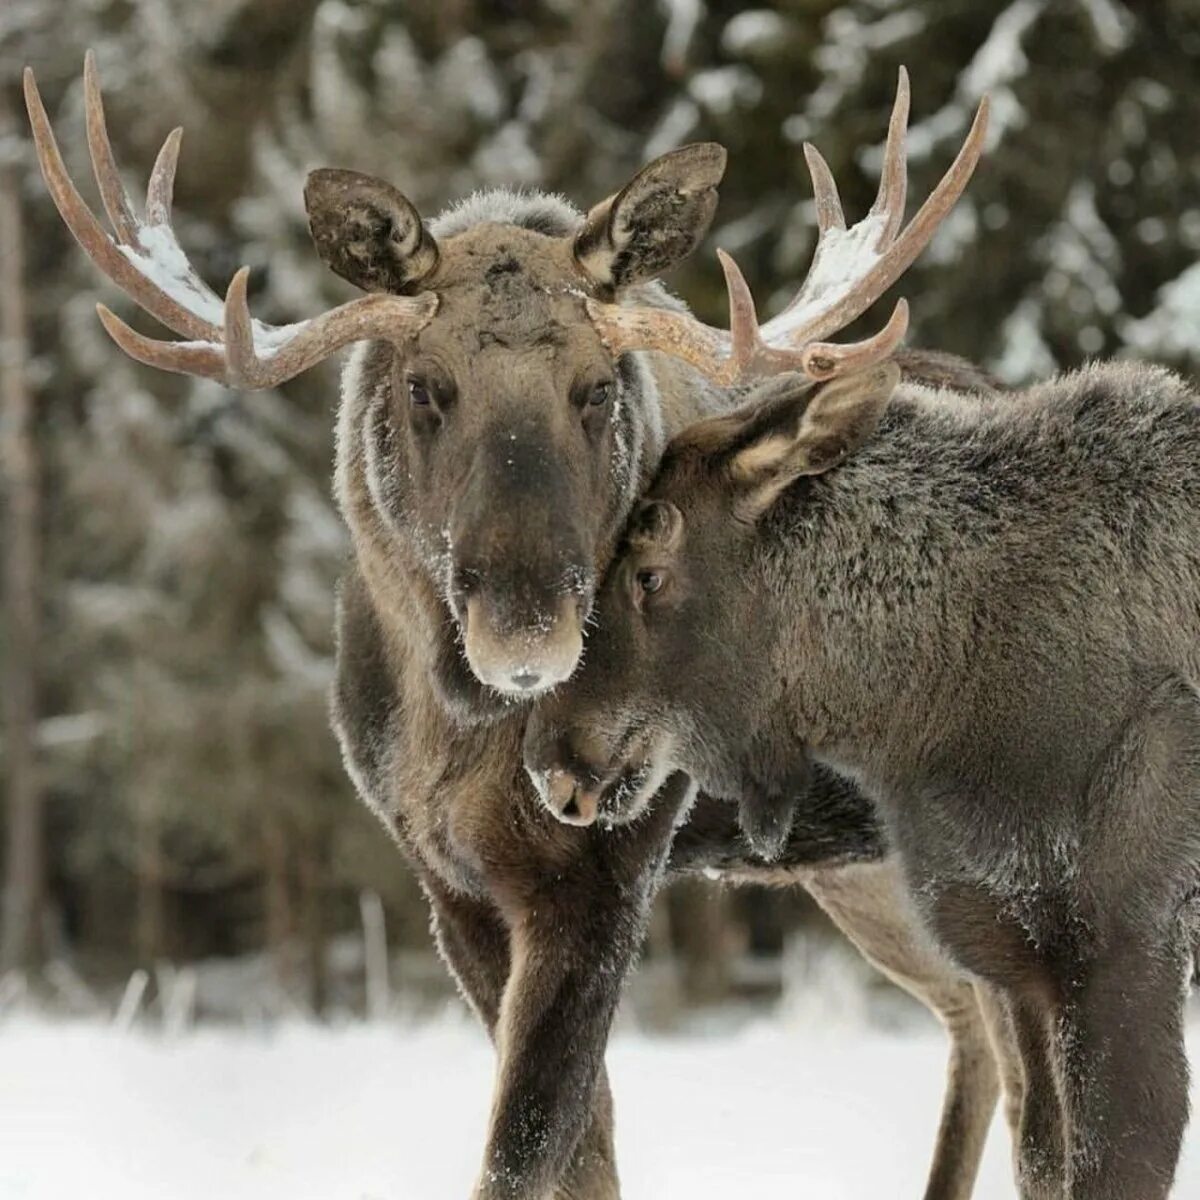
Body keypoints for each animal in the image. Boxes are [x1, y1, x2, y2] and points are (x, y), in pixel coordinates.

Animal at [28, 58, 1008, 1200]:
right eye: (424, 386)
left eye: (596, 390)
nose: (526, 633)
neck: (461, 734)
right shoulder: (444, 878)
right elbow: (583, 1146)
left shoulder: (608, 865)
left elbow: (527, 1145)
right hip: (857, 865)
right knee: (978, 1021)